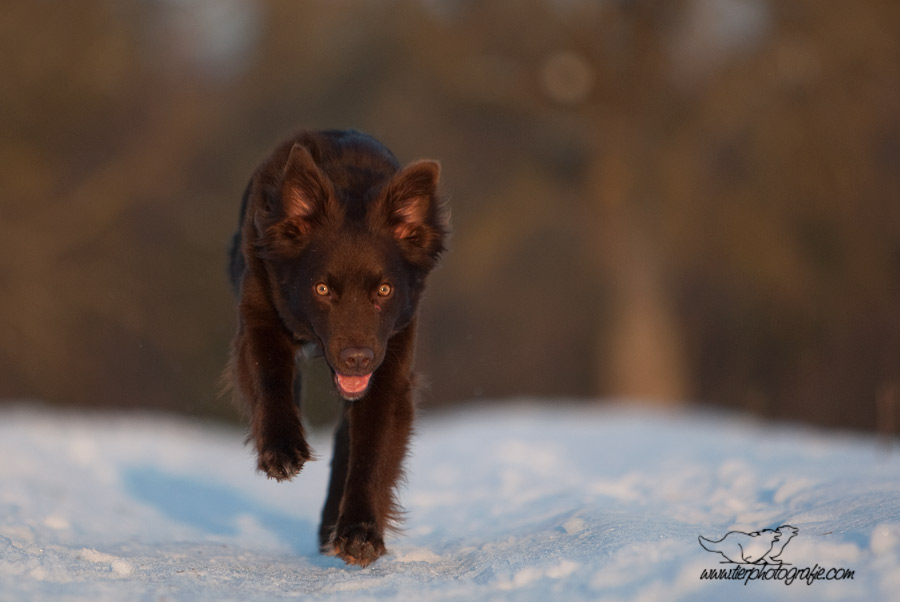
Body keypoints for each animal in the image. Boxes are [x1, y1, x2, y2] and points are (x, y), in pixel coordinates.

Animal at [227, 129, 448, 564]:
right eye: (322, 289)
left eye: (384, 290)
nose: (357, 359)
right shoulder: (258, 315)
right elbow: (270, 377)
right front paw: (282, 449)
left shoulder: (391, 362)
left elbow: (372, 451)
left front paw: (360, 533)